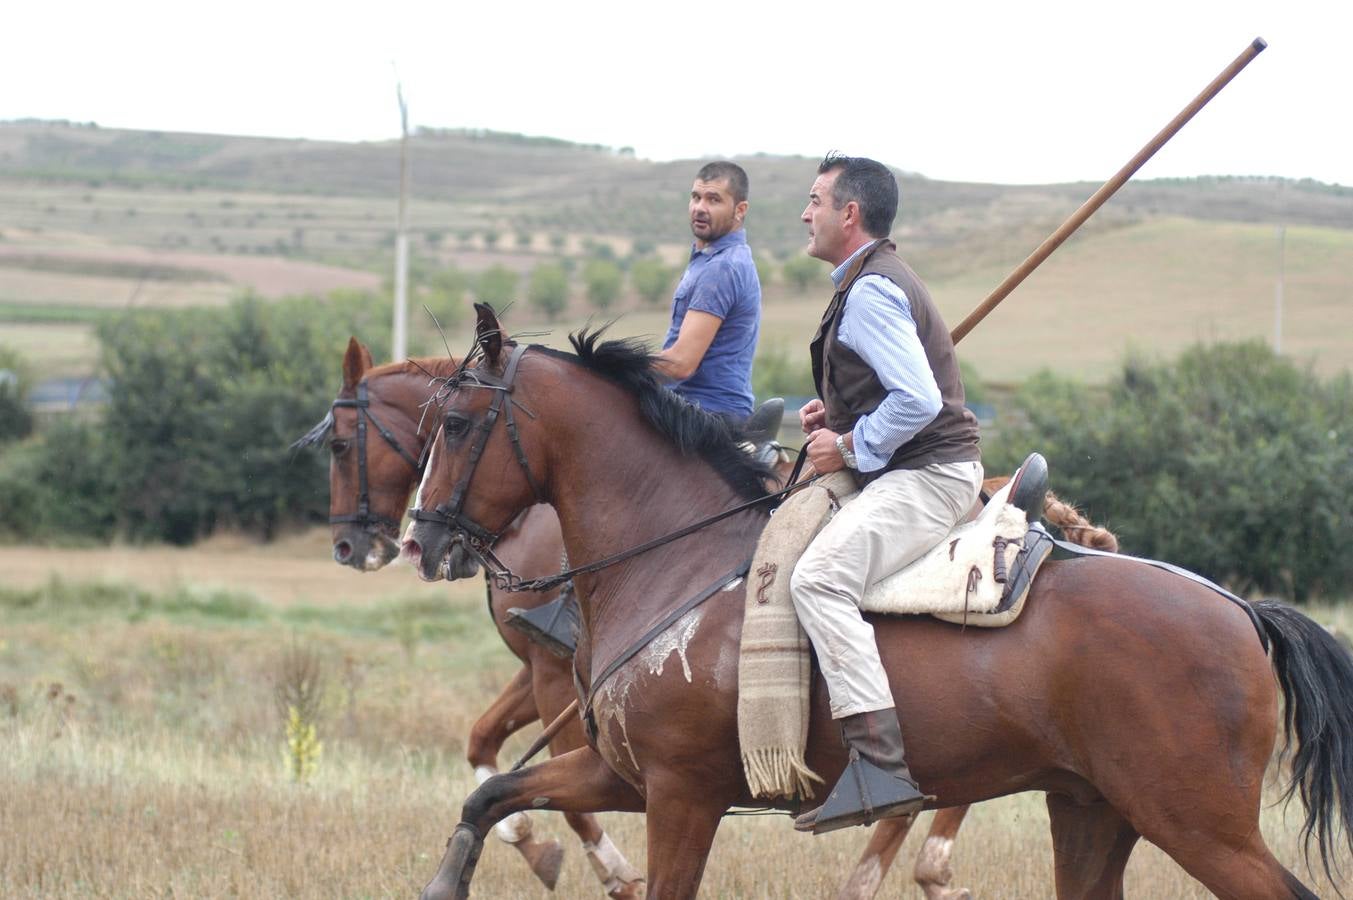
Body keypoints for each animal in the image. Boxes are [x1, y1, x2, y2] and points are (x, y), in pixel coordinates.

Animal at [405, 311, 1353, 898]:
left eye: (453, 424)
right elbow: (493, 797)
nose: (420, 540)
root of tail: (1236, 610)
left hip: (1194, 824)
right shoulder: (623, 775)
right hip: (1092, 812)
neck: (675, 562)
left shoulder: (682, 794)